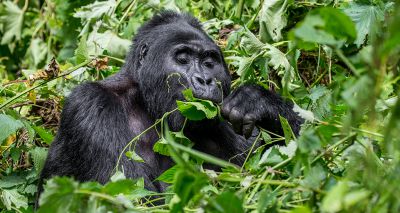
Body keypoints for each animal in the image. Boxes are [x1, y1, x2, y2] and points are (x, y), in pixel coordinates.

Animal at [39, 11, 304, 195]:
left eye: (209, 62)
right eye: (183, 59)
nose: (204, 79)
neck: (145, 103)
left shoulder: (219, 121)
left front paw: (258, 102)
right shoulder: (91, 106)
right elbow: (138, 197)